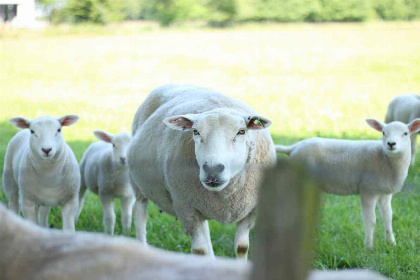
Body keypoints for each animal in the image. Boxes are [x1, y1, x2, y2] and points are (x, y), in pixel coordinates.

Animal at [128, 84, 278, 260]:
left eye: (241, 131)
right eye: (196, 132)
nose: (213, 169)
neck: (227, 195)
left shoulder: (251, 211)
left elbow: (241, 248)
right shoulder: (187, 209)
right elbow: (200, 251)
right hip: (137, 184)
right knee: (139, 215)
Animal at [276, 118, 420, 247]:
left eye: (405, 133)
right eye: (383, 132)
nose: (391, 143)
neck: (385, 159)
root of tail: (294, 147)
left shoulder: (385, 193)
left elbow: (389, 217)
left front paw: (391, 243)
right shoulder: (368, 190)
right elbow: (371, 220)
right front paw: (369, 247)